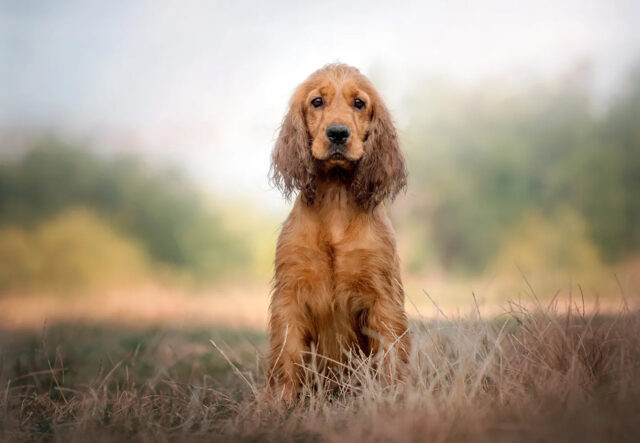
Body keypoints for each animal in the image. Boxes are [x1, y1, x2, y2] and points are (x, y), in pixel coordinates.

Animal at [268, 64, 410, 404]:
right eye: (317, 102)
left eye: (359, 103)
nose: (337, 133)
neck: (335, 197)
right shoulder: (289, 295)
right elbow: (286, 355)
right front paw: (279, 404)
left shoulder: (382, 297)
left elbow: (391, 353)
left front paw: (394, 398)